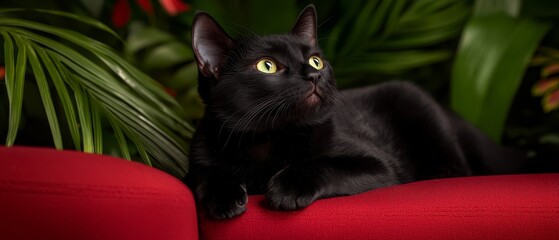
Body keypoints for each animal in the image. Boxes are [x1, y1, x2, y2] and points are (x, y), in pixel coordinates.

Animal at [187, 5, 524, 219]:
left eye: (316, 60)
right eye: (267, 65)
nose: (313, 74)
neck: (268, 141)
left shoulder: (380, 165)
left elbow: (325, 164)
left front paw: (287, 187)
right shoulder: (198, 156)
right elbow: (207, 174)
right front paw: (224, 197)